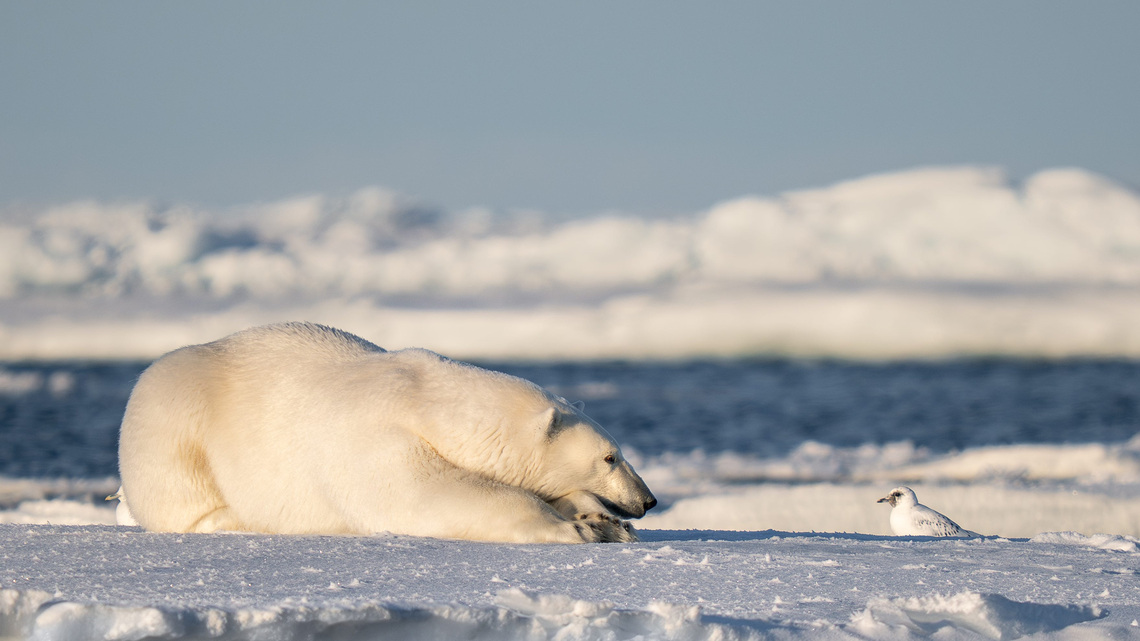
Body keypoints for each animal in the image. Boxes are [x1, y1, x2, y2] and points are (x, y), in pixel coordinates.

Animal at [116, 322, 656, 543]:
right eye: (610, 457)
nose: (647, 500)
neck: (430, 401)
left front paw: (603, 521)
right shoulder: (374, 441)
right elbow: (426, 495)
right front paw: (577, 530)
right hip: (176, 420)